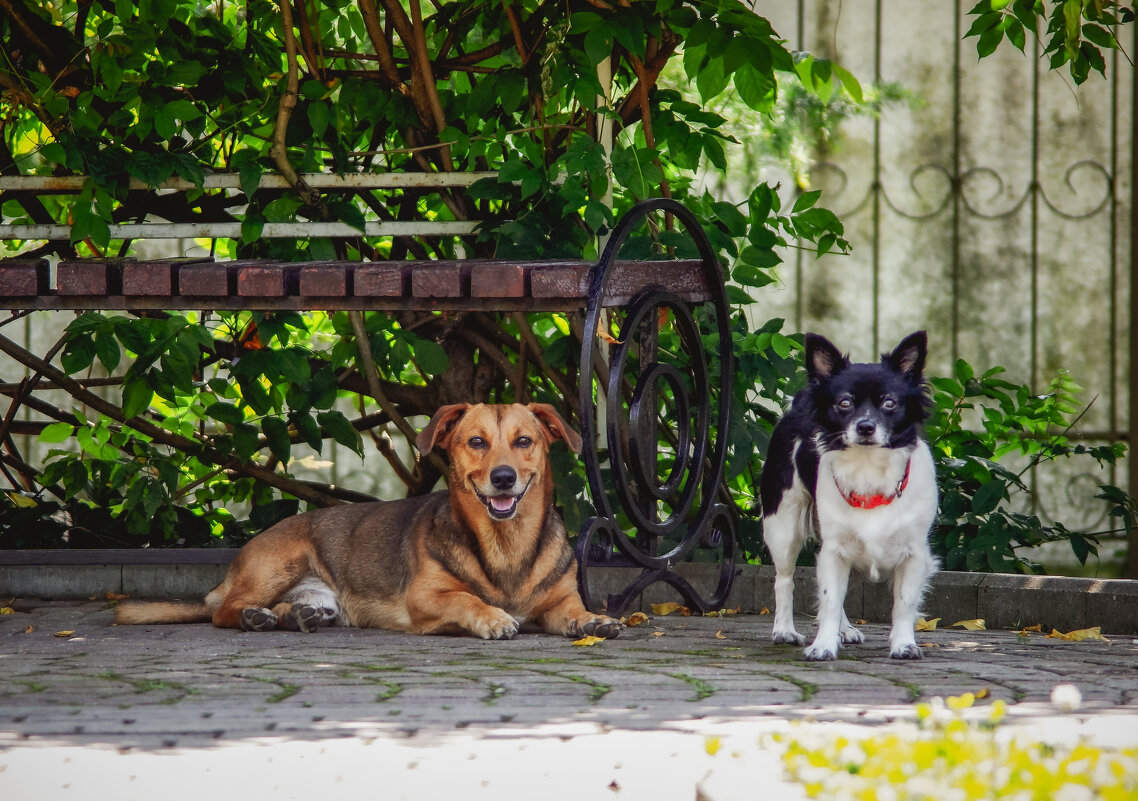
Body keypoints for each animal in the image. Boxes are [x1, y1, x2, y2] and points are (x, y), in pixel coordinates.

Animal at [115, 402, 623, 641]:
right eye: (476, 442)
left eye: (524, 441)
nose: (503, 478)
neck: (507, 544)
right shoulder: (426, 598)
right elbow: (467, 600)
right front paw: (492, 617)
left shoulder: (559, 602)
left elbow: (575, 612)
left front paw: (595, 620)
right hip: (278, 563)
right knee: (223, 612)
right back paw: (253, 617)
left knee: (291, 609)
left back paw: (295, 615)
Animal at [760, 327, 937, 659]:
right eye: (844, 403)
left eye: (889, 403)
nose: (866, 426)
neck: (868, 469)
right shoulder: (833, 551)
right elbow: (829, 599)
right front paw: (823, 645)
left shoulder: (914, 554)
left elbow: (904, 603)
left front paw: (904, 644)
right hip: (783, 526)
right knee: (784, 580)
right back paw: (784, 630)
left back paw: (845, 630)